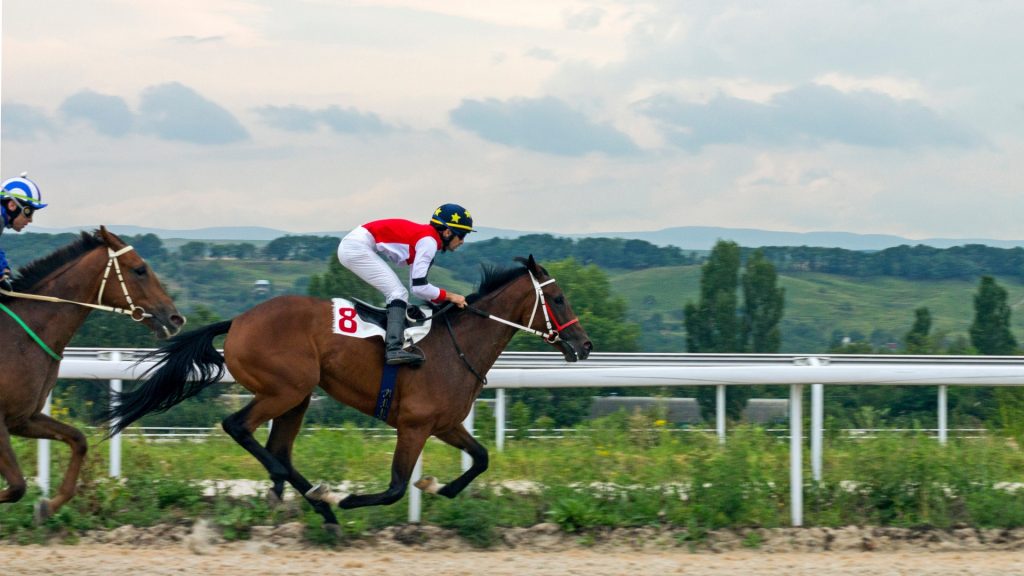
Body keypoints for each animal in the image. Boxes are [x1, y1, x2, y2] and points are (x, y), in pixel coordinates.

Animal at [0, 227, 186, 519]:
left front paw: (48, 506)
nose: (175, 318)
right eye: (139, 269)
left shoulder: (22, 418)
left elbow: (79, 439)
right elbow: (17, 485)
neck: (21, 337)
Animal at [103, 255, 592, 528]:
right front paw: (349, 496)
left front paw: (436, 486)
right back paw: (312, 496)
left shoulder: (445, 424)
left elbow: (481, 459)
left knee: (280, 449)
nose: (584, 345)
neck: (457, 347)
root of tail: (239, 320)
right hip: (285, 389)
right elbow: (395, 487)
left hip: (297, 396)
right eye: (559, 298)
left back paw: (318, 504)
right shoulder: (414, 426)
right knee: (239, 427)